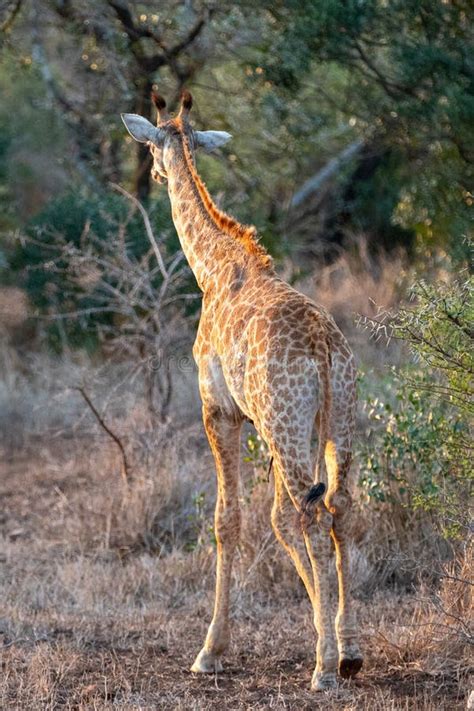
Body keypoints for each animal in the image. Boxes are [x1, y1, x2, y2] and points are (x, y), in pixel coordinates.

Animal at [121, 92, 362, 692]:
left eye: (152, 145)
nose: (156, 173)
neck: (213, 270)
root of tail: (324, 346)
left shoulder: (219, 411)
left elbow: (227, 520)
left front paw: (211, 649)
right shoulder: (260, 424)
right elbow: (275, 519)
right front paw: (320, 622)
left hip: (288, 425)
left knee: (313, 517)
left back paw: (324, 669)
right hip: (335, 422)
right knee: (338, 508)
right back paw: (348, 650)